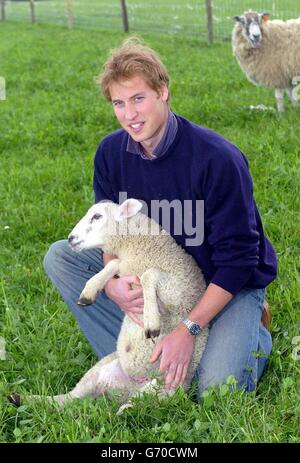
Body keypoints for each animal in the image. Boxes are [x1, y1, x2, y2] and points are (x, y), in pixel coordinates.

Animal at [11, 199, 209, 414]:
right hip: (99, 369)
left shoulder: (178, 292)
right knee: (68, 399)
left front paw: (151, 322)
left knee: (140, 404)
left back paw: (125, 411)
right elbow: (114, 263)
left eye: (97, 216)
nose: (71, 238)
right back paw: (22, 399)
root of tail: (124, 388)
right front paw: (89, 290)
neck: (139, 249)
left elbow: (149, 274)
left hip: (166, 388)